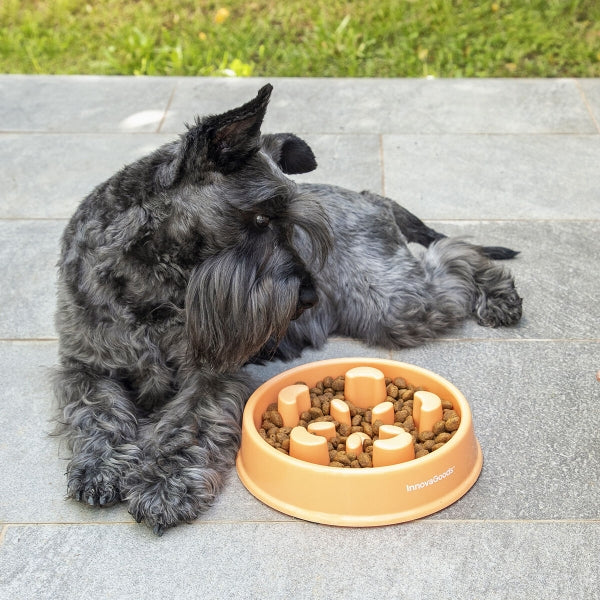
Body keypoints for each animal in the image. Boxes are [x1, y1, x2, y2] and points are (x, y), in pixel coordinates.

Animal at [54, 84, 524, 536]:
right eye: (262, 219)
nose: (310, 298)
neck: (153, 280)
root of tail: (371, 197)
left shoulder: (210, 377)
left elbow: (187, 425)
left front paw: (164, 486)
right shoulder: (85, 366)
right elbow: (95, 412)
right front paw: (100, 467)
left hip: (390, 300)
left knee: (456, 256)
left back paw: (501, 297)